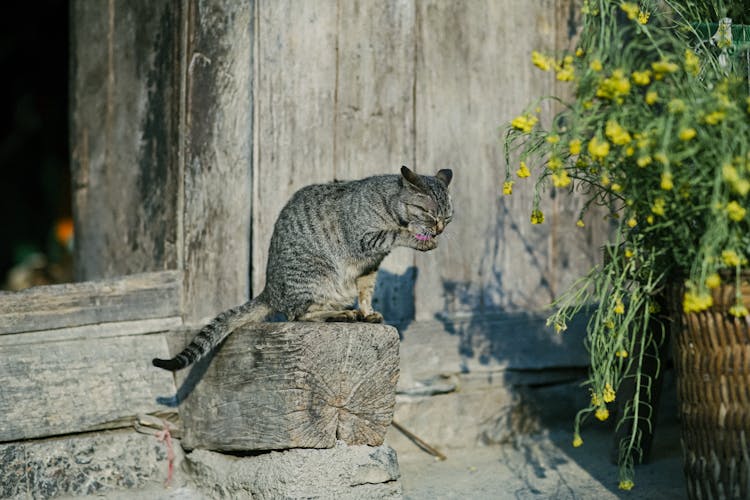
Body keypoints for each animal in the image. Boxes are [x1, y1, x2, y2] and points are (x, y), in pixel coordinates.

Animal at [153, 165, 452, 372]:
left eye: (448, 217)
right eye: (429, 214)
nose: (439, 229)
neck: (389, 206)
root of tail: (269, 291)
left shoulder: (370, 266)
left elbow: (366, 292)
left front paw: (368, 312)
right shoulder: (364, 240)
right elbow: (395, 233)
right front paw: (417, 238)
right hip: (316, 273)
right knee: (299, 314)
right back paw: (341, 313)